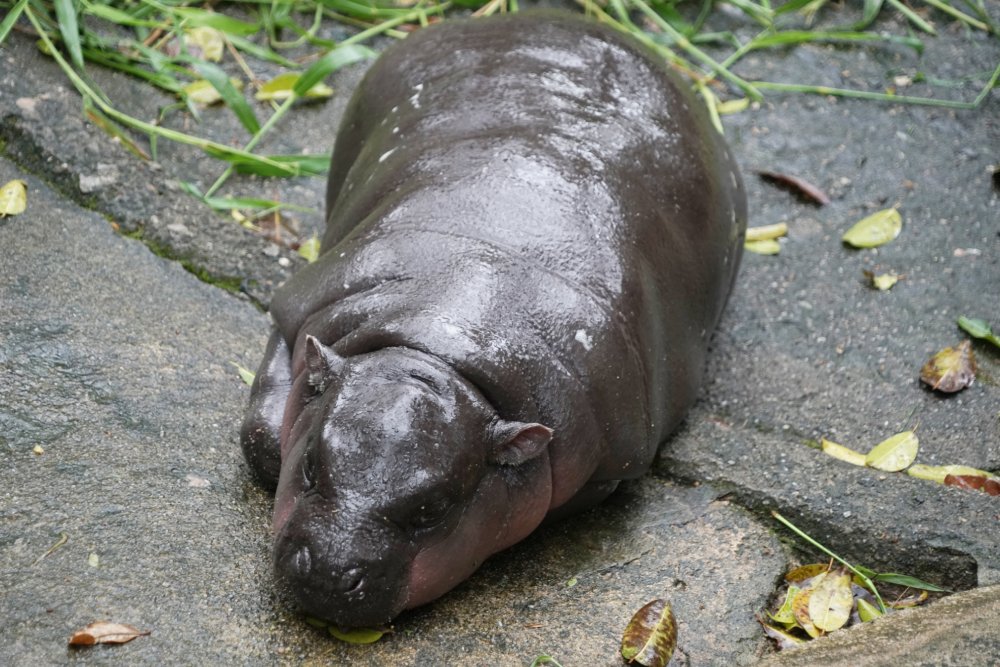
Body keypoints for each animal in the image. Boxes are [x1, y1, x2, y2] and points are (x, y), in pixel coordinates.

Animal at [240, 11, 746, 629]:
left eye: (432, 508)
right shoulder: (297, 308)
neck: (442, 341)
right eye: (311, 463)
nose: (332, 572)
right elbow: (262, 433)